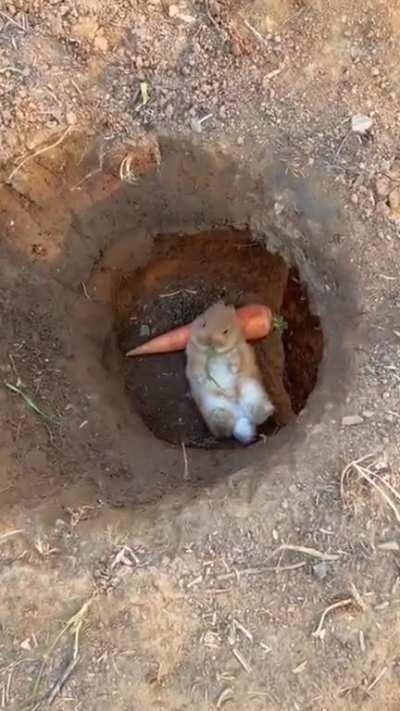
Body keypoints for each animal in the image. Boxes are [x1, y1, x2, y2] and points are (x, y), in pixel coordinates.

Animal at [185, 301, 274, 443]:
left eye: (225, 331)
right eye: (203, 324)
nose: (210, 341)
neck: (215, 354)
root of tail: (240, 415)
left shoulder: (239, 351)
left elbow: (237, 358)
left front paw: (233, 370)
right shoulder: (194, 356)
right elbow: (196, 366)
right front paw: (202, 378)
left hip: (250, 388)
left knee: (254, 416)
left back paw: (268, 410)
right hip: (212, 409)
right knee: (225, 429)